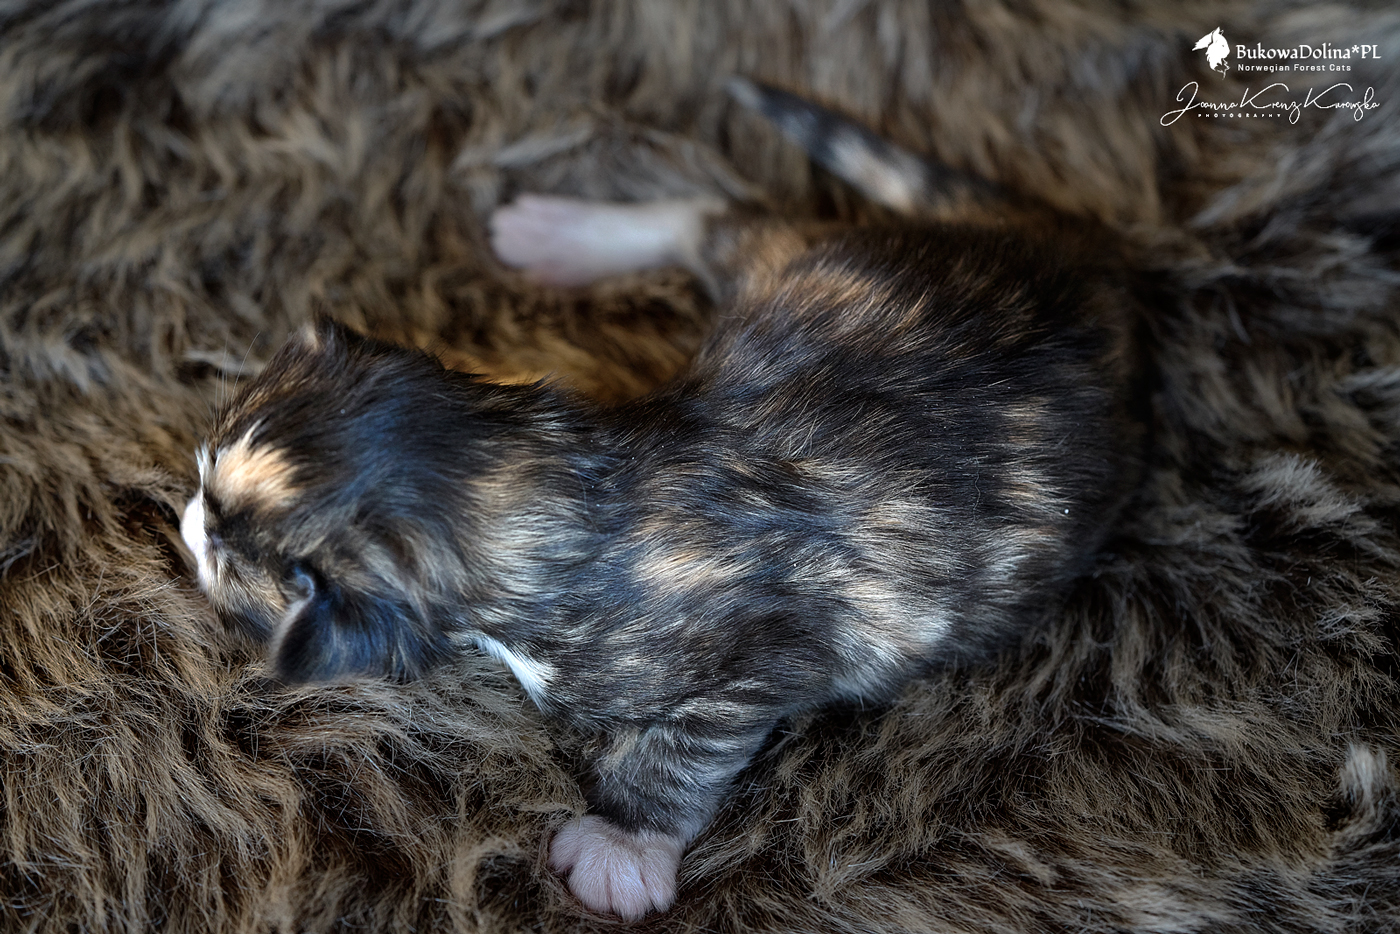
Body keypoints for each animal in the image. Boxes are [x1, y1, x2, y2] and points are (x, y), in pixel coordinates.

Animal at [181, 78, 1149, 919]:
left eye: (226, 550)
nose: (187, 519)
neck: (554, 480)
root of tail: (1073, 253)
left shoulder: (756, 659)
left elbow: (682, 755)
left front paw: (623, 846)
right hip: (816, 268)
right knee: (719, 218)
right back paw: (562, 232)